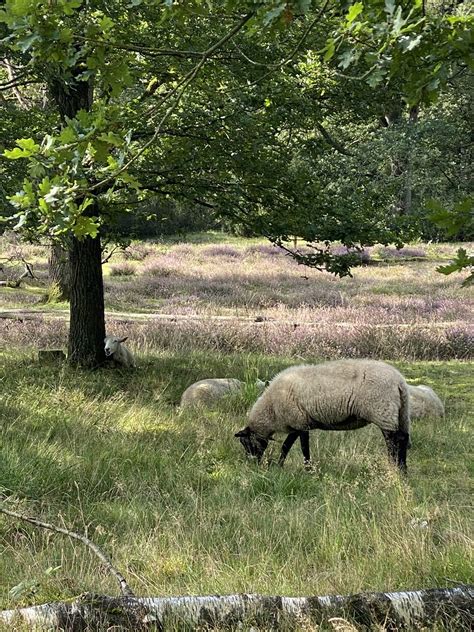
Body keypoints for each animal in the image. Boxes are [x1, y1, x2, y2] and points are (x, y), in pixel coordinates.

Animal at [235, 360, 410, 474]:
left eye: (245, 442)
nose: (252, 464)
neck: (271, 410)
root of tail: (399, 381)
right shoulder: (297, 423)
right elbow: (287, 446)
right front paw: (280, 466)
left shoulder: (300, 423)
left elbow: (302, 448)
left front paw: (308, 469)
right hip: (400, 413)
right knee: (403, 439)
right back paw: (403, 471)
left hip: (383, 411)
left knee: (393, 443)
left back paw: (393, 469)